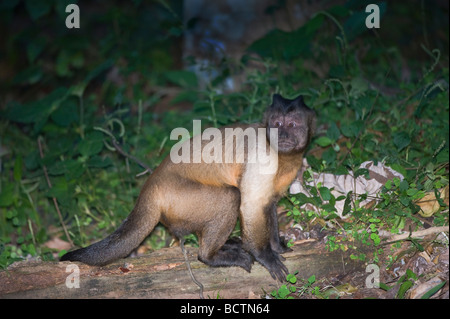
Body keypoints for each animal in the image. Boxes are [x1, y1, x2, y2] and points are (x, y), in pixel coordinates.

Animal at [60, 93, 316, 282]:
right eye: (277, 124)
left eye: (292, 125)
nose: (282, 135)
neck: (283, 156)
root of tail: (151, 184)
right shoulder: (263, 155)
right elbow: (252, 204)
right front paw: (265, 255)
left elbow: (269, 204)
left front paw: (276, 247)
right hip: (180, 197)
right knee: (231, 196)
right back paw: (210, 256)